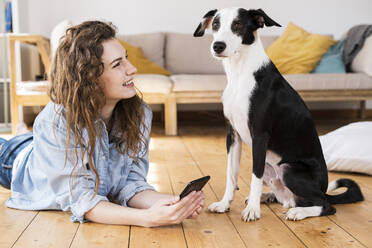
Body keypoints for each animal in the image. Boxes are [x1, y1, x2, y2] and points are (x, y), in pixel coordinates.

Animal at [193, 7, 362, 221]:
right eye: (215, 24)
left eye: (238, 25)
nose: (218, 46)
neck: (241, 73)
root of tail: (324, 189)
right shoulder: (233, 135)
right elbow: (231, 174)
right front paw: (224, 204)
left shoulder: (260, 136)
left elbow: (254, 177)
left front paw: (253, 210)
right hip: (271, 167)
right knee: (289, 198)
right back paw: (270, 197)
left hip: (288, 169)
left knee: (326, 205)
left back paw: (297, 211)